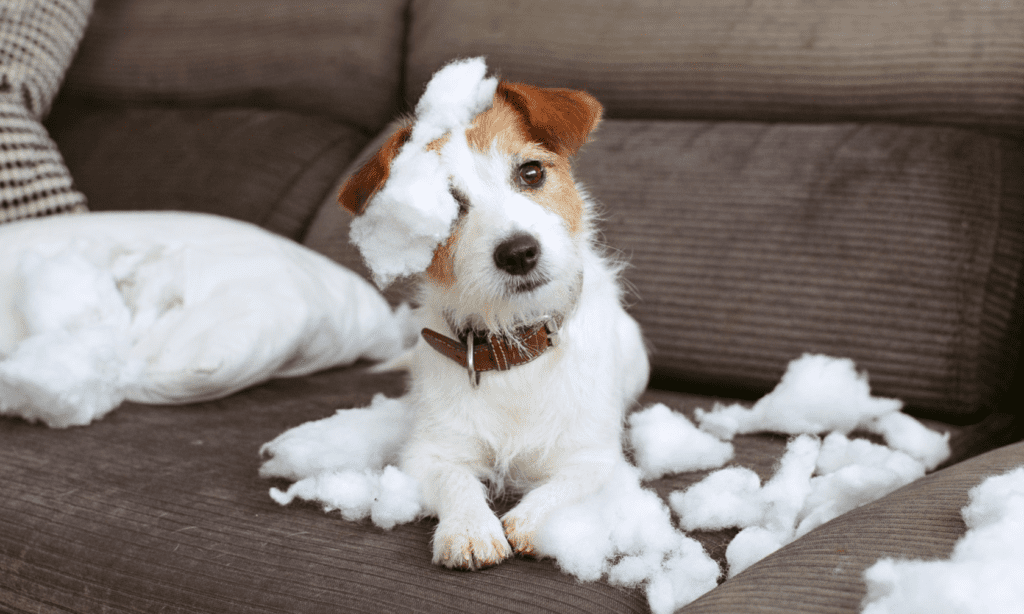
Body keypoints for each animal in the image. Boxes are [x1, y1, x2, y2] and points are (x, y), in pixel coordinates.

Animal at [337, 58, 647, 568]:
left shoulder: (593, 457)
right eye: (447, 206)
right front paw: (468, 529)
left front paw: (530, 520)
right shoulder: (431, 453)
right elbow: (455, 480)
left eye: (531, 172)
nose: (519, 253)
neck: (514, 345)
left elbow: (565, 486)